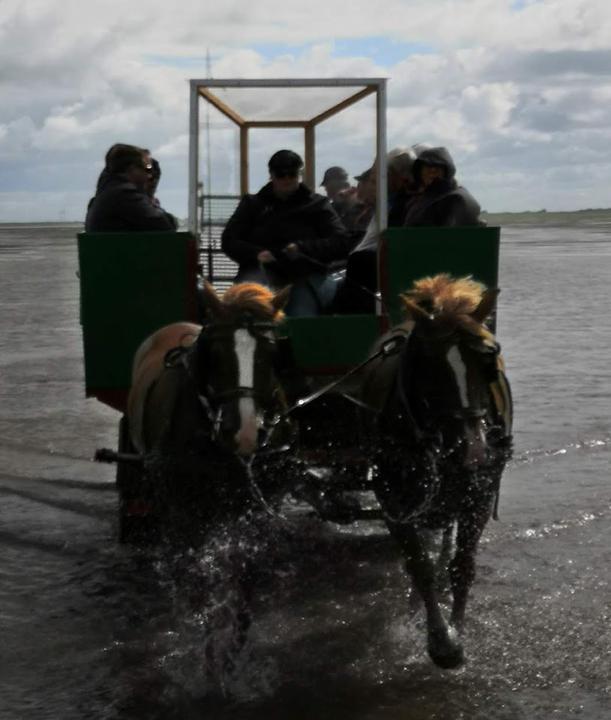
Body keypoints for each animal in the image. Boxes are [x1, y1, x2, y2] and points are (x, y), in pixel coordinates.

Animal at [360, 272, 512, 668]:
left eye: (488, 359)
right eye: (428, 365)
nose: (474, 449)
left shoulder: (479, 492)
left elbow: (462, 565)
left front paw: (456, 631)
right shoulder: (392, 498)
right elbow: (419, 566)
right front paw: (440, 639)